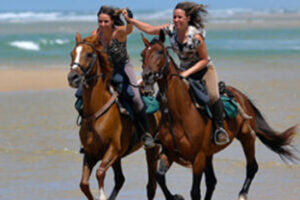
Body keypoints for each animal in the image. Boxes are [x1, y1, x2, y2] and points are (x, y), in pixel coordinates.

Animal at [67, 33, 161, 200]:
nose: (73, 77)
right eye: (72, 54)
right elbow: (84, 184)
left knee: (151, 185)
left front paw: (102, 196)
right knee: (120, 179)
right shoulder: (91, 153)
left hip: (152, 149)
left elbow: (99, 173)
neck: (95, 114)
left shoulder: (113, 150)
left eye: (89, 54)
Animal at [140, 31, 298, 200]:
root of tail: (242, 97)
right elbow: (159, 177)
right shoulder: (169, 153)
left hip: (247, 138)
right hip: (211, 153)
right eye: (143, 55)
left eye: (160, 52)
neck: (179, 114)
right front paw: (176, 196)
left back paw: (242, 194)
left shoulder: (198, 158)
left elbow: (194, 191)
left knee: (252, 167)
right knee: (212, 181)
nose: (147, 76)